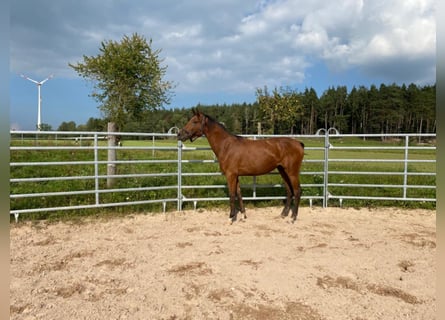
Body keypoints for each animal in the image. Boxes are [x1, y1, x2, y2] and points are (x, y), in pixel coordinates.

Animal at [177, 109, 306, 224]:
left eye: (194, 121)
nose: (179, 134)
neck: (226, 145)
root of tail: (298, 143)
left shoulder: (230, 175)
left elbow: (232, 195)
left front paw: (231, 218)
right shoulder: (236, 175)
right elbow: (239, 193)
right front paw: (243, 215)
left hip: (292, 172)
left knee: (297, 191)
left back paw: (293, 218)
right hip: (282, 171)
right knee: (289, 191)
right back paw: (283, 215)